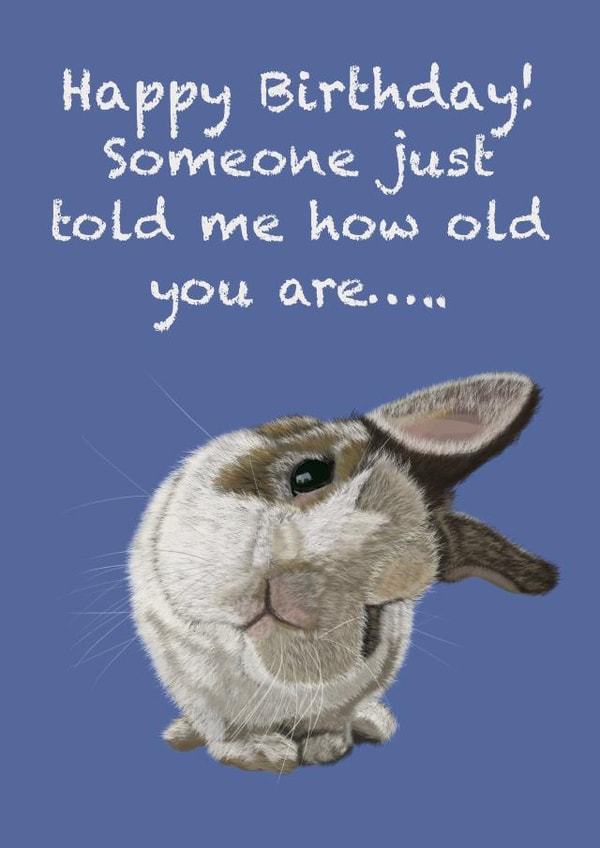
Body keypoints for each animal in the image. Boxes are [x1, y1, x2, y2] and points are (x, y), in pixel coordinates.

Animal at [128, 372, 558, 772]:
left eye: (376, 611)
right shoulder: (197, 685)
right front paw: (263, 753)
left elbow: (329, 719)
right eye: (308, 474)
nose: (292, 588)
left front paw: (324, 748)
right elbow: (224, 732)